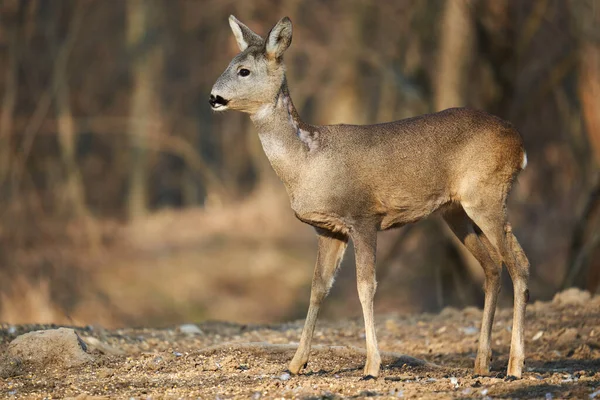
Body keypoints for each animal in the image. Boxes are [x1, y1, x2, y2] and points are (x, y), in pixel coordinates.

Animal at [210, 14, 528, 378]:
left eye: (243, 70)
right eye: (230, 63)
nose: (213, 97)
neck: (308, 162)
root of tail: (520, 145)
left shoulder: (363, 216)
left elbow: (366, 287)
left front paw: (372, 365)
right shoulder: (328, 228)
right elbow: (318, 288)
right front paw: (296, 362)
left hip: (486, 195)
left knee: (518, 264)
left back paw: (515, 365)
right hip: (456, 210)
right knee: (494, 266)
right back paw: (481, 362)